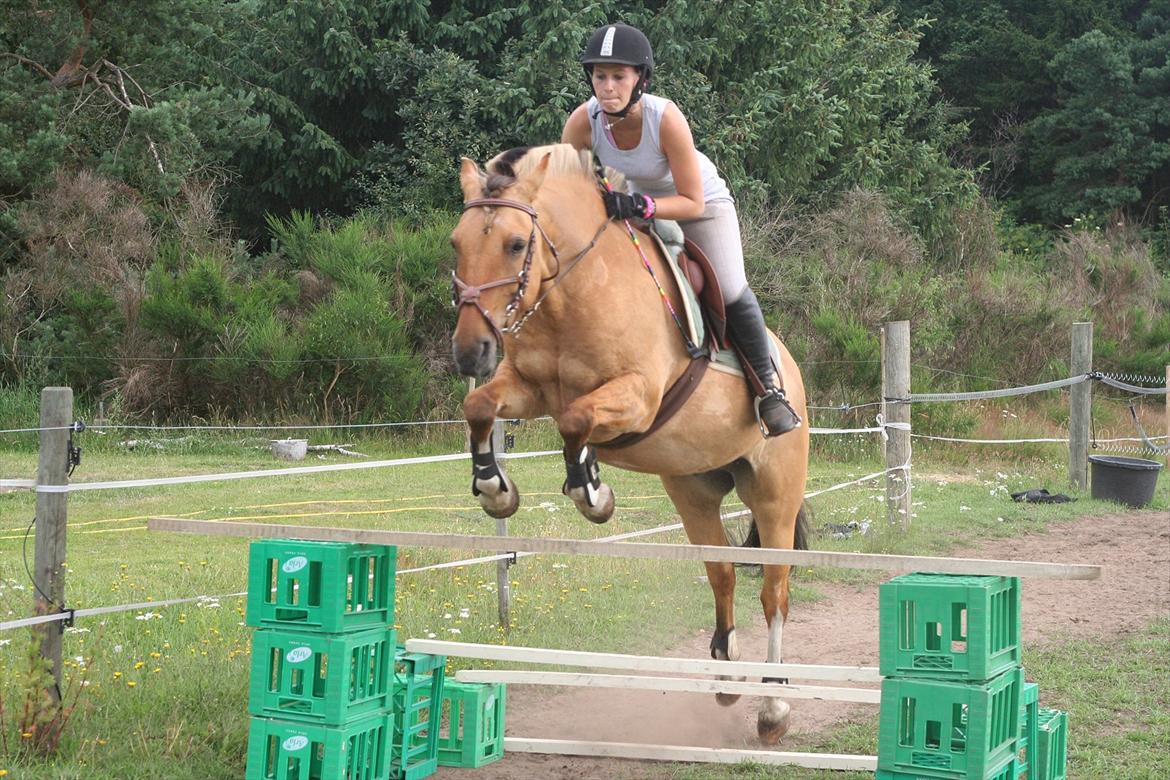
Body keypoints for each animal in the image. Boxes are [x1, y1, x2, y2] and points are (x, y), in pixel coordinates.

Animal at [451, 142, 809, 743]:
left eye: (516, 244)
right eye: (456, 243)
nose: (469, 351)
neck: (572, 292)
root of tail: (793, 370)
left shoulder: (638, 396)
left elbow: (576, 420)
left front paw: (593, 493)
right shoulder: (526, 388)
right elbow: (481, 407)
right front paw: (497, 490)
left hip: (775, 494)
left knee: (774, 592)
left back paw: (775, 706)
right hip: (693, 491)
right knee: (722, 572)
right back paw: (726, 675)